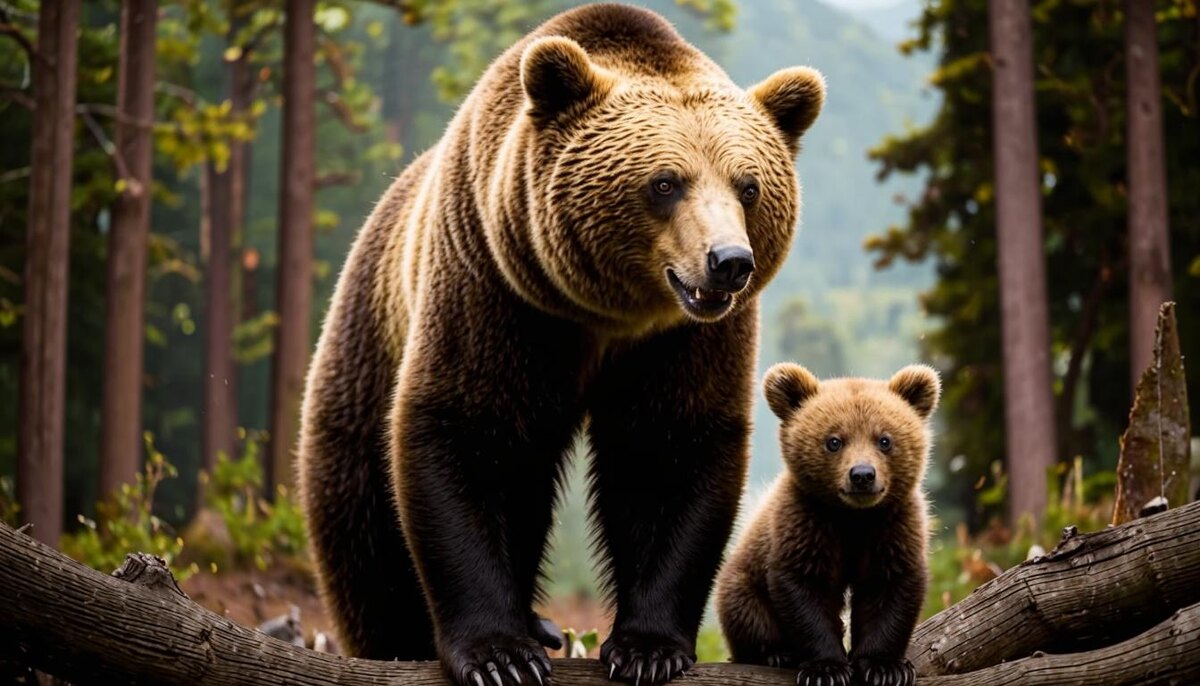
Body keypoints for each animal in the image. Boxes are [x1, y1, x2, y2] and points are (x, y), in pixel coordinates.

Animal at [297, 5, 825, 686]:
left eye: (749, 186)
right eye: (665, 183)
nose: (728, 262)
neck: (604, 316)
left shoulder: (686, 339)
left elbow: (668, 450)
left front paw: (648, 648)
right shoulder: (494, 283)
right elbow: (468, 431)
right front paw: (499, 653)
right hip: (366, 342)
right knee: (366, 528)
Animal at [715, 363, 940, 686]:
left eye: (884, 440)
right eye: (834, 441)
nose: (862, 475)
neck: (851, 517)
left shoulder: (892, 526)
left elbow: (888, 588)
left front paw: (885, 667)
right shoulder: (806, 524)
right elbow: (805, 592)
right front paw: (827, 669)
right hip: (743, 580)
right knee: (745, 609)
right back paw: (776, 653)